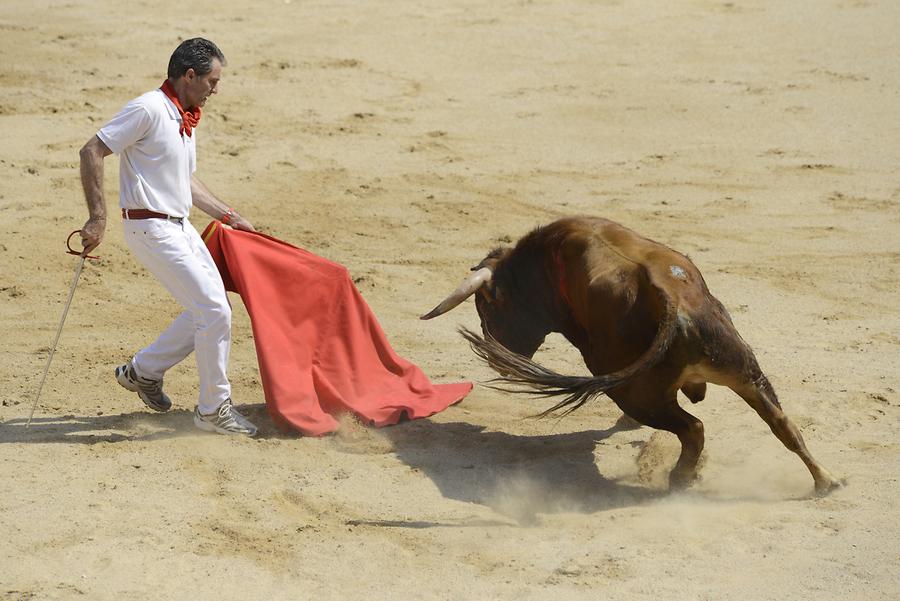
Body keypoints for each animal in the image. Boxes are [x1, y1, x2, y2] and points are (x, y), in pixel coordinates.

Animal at [420, 216, 836, 492]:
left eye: (487, 309)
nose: (498, 361)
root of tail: (673, 299)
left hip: (636, 393)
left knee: (693, 428)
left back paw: (680, 478)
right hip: (743, 369)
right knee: (780, 423)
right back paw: (826, 481)